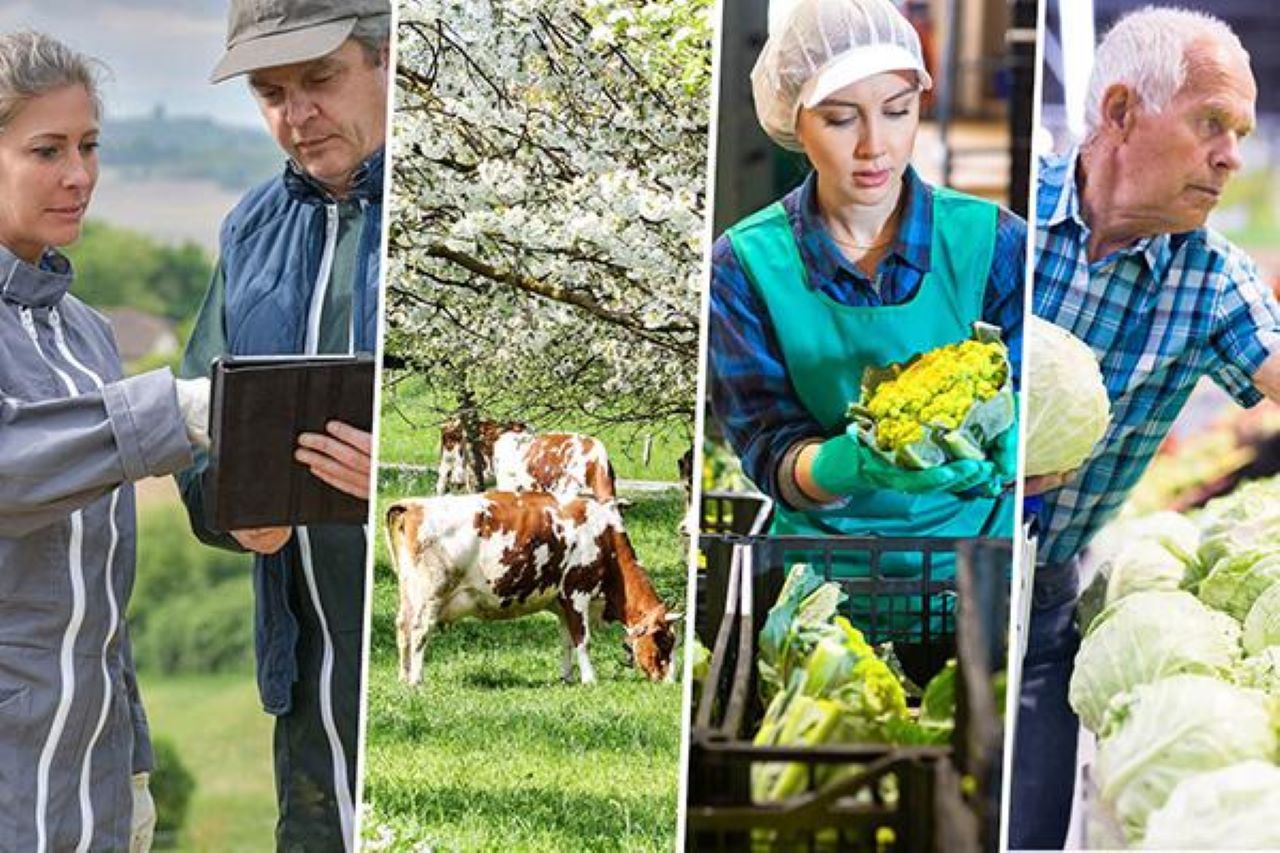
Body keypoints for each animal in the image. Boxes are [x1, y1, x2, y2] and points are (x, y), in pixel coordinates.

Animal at [384, 489, 680, 681]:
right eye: (664, 639)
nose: (670, 681)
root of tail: (412, 505)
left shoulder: (561, 602)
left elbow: (566, 640)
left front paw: (567, 678)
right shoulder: (577, 592)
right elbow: (583, 640)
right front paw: (590, 679)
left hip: (409, 593)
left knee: (402, 628)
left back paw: (403, 678)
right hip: (430, 594)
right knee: (419, 632)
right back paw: (417, 681)